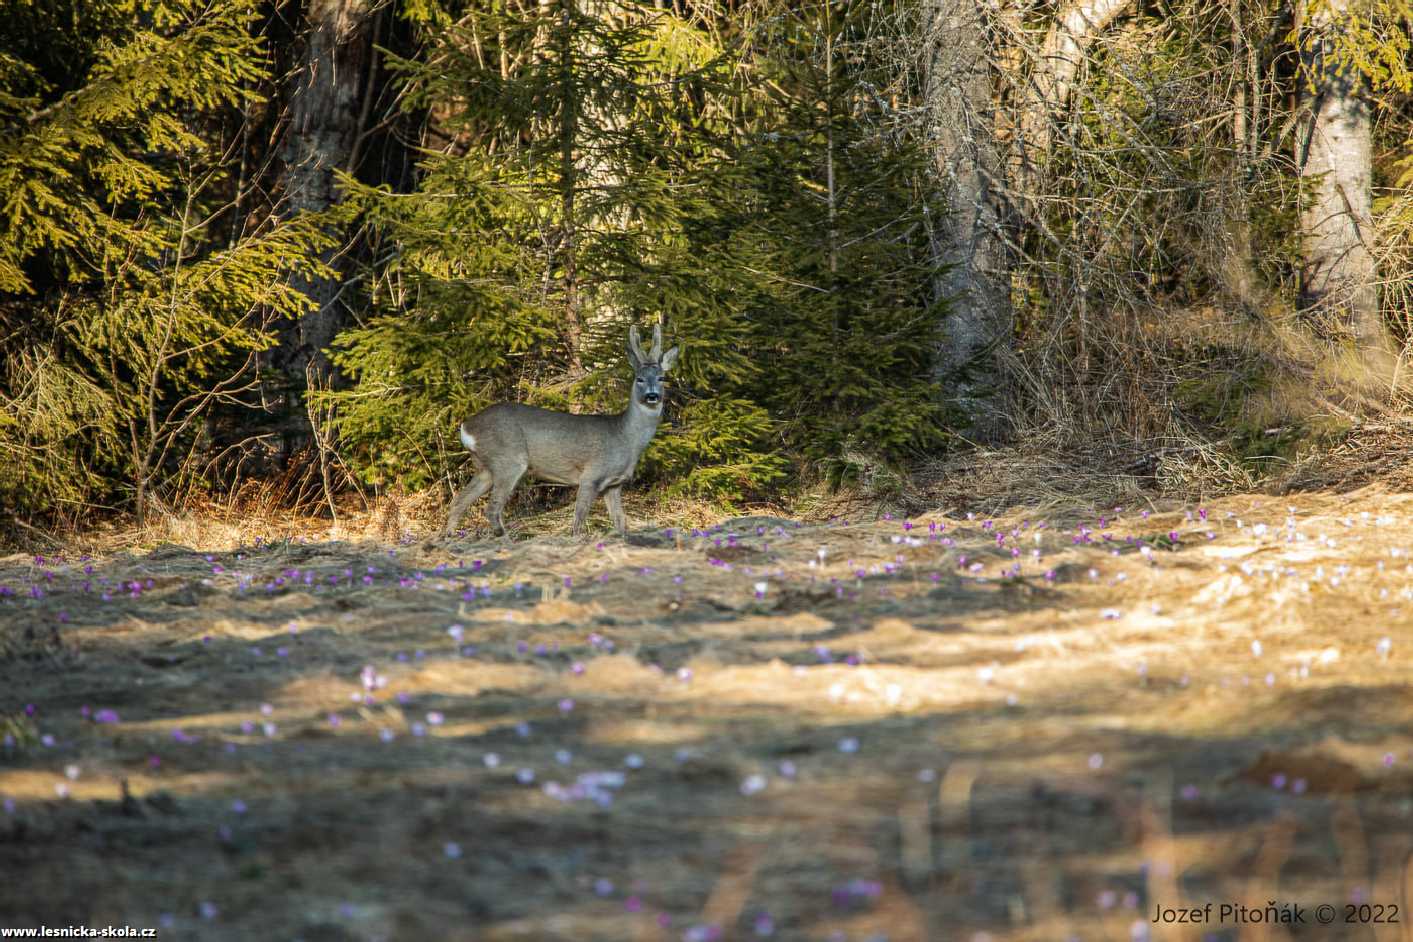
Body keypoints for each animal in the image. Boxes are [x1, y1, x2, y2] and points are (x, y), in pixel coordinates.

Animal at [440, 324, 683, 536]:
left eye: (661, 377)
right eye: (639, 378)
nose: (652, 396)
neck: (625, 437)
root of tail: (466, 427)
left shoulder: (614, 485)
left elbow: (621, 522)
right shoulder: (591, 475)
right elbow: (578, 520)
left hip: (485, 468)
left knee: (459, 501)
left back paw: (448, 539)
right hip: (508, 460)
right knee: (492, 509)